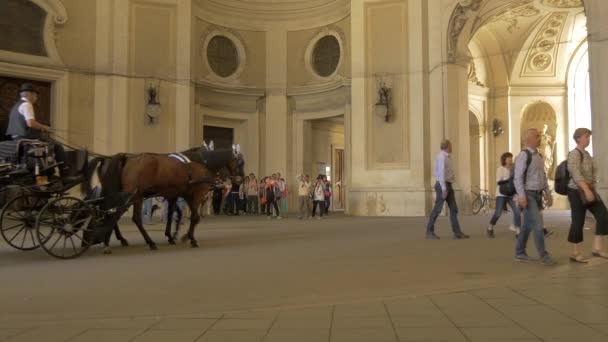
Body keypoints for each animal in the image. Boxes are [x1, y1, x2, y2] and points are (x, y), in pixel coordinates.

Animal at [85, 146, 245, 250]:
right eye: (241, 162)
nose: (239, 180)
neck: (200, 162)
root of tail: (127, 158)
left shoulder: (179, 195)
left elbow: (173, 215)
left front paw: (173, 235)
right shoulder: (197, 194)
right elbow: (194, 217)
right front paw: (190, 238)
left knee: (112, 213)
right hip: (135, 196)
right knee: (128, 217)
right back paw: (147, 242)